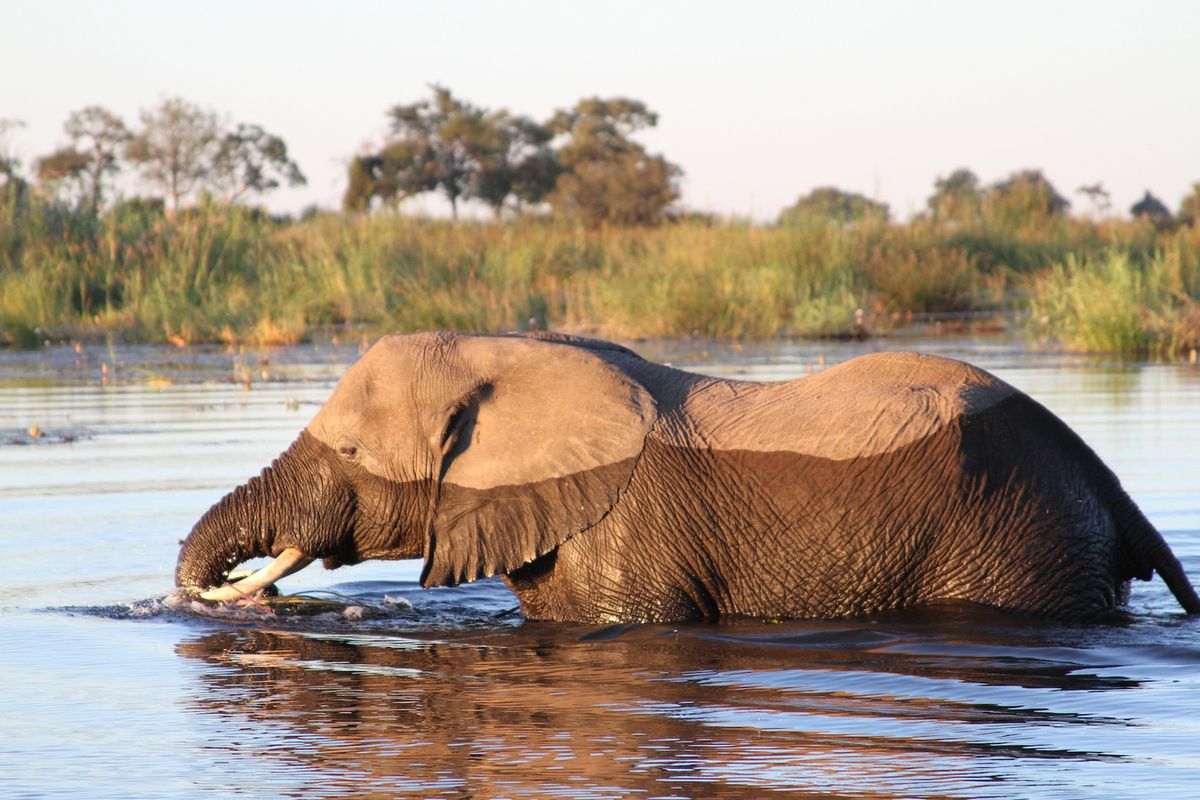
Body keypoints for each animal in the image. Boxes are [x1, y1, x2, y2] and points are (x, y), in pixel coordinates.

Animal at [176, 331, 1200, 623]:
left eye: (350, 455)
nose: (242, 588)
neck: (504, 351)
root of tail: (1106, 480)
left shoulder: (632, 534)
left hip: (1019, 536)